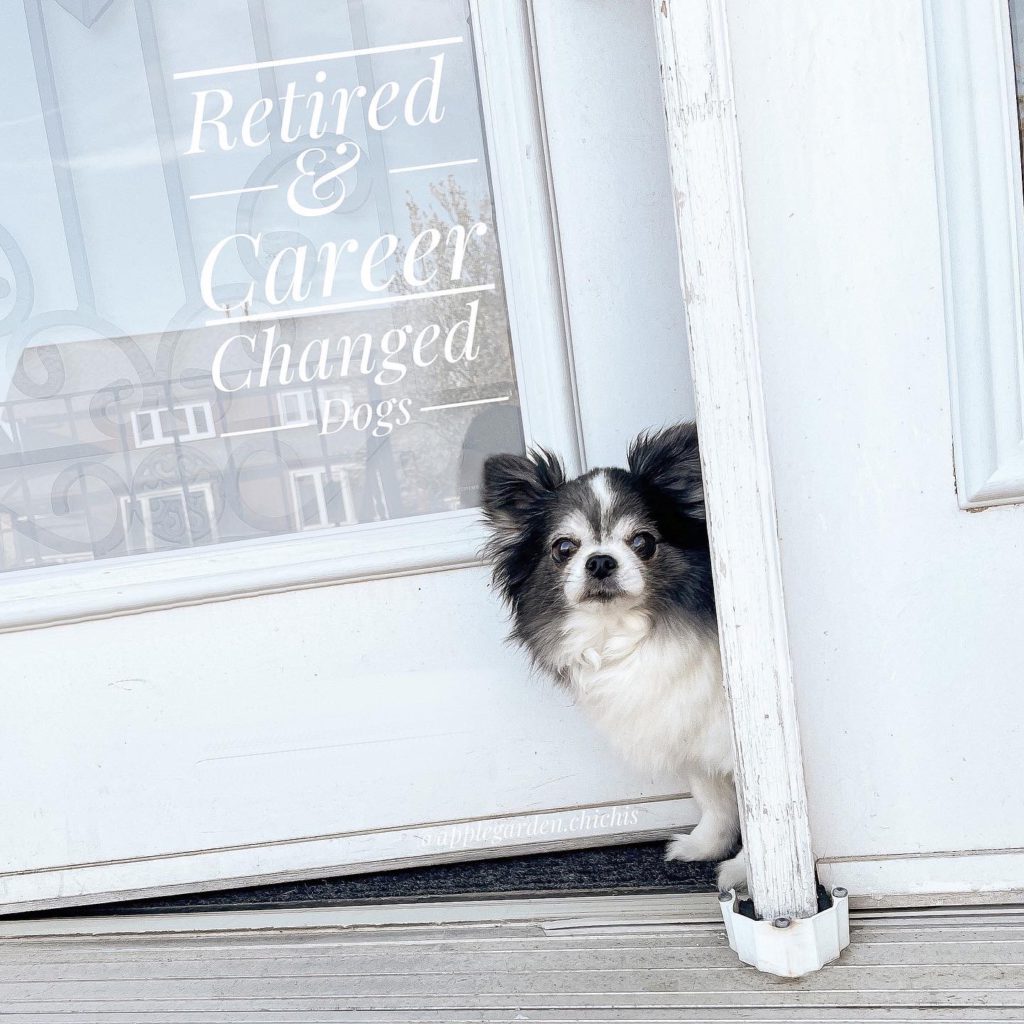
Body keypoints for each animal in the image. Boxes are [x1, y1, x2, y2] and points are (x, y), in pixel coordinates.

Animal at [479, 421, 745, 888]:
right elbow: (712, 795)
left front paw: (745, 871)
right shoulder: (684, 720)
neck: (623, 633)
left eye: (643, 542)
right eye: (564, 548)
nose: (600, 561)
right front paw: (706, 846)